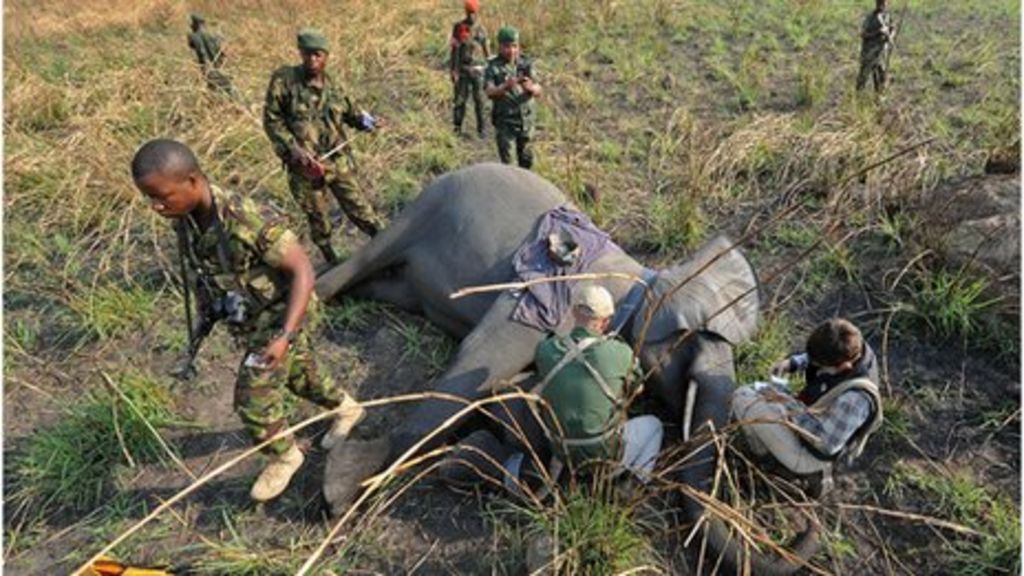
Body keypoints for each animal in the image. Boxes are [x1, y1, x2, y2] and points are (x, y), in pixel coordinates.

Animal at [316, 163, 818, 574]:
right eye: (692, 351)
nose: (802, 527)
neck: (645, 277)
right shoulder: (547, 299)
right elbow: (481, 360)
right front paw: (343, 488)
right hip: (427, 205)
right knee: (362, 261)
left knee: (390, 286)